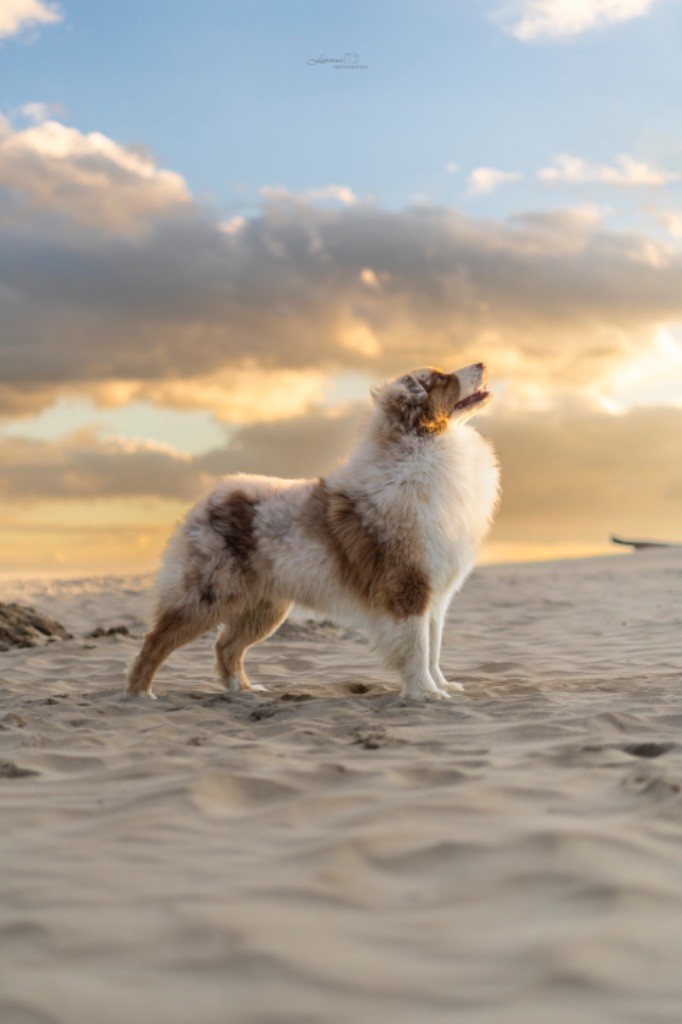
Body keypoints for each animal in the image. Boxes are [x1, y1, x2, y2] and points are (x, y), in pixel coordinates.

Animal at [124, 362, 499, 704]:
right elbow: (417, 647)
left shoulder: (436, 594)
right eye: (440, 378)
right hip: (208, 596)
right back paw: (140, 694)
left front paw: (441, 686)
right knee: (156, 640)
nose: (483, 363)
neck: (424, 447)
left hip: (265, 608)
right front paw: (425, 693)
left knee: (225, 645)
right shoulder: (409, 586)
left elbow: (433, 647)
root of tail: (209, 498)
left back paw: (244, 690)